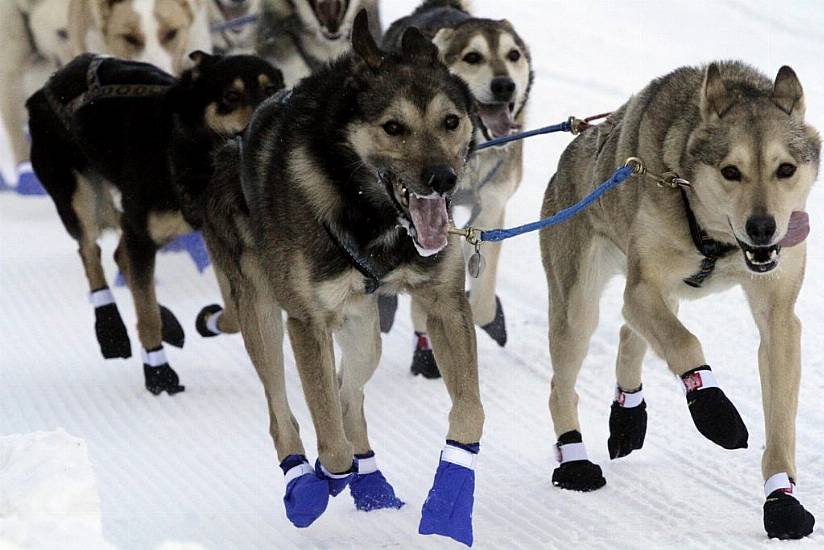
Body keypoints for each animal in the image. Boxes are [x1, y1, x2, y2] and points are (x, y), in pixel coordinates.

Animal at [380, 0, 536, 380]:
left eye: (512, 55)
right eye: (472, 57)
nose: (504, 85)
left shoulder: (492, 206)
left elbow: (480, 303)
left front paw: (487, 311)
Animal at [540, 59, 816, 540]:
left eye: (785, 169)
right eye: (730, 171)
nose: (763, 228)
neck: (718, 242)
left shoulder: (779, 317)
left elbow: (781, 424)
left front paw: (782, 500)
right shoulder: (643, 287)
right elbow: (686, 344)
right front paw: (714, 409)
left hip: (661, 294)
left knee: (629, 335)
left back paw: (628, 418)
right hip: (579, 307)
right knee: (563, 386)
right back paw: (574, 462)